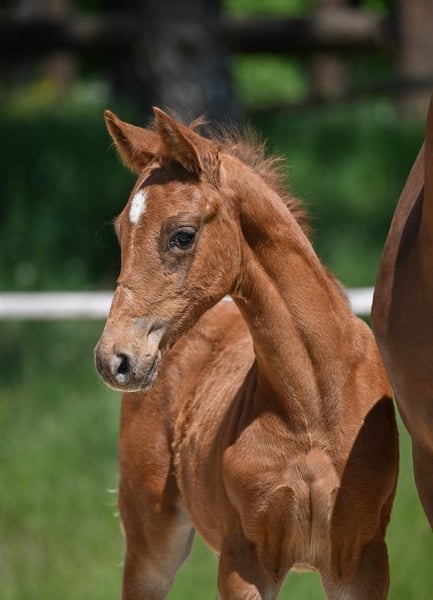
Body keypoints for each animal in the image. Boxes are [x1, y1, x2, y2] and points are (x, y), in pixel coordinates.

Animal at [94, 108, 399, 599]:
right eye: (122, 232)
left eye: (182, 235)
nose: (114, 359)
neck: (313, 405)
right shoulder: (244, 559)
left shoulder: (363, 559)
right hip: (151, 540)